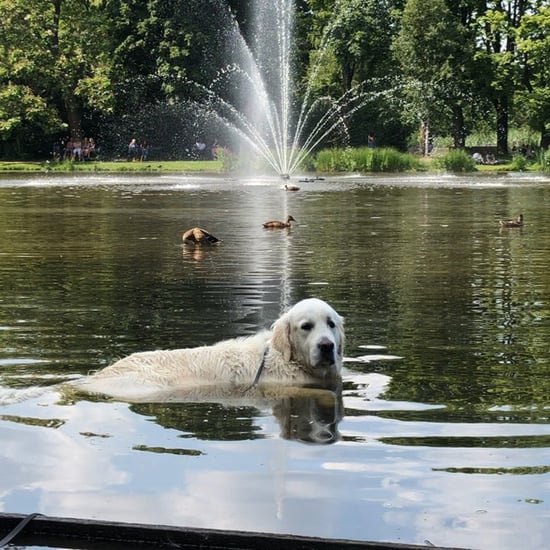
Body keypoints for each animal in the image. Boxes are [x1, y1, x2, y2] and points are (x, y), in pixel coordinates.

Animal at [70, 300, 342, 404]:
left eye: (331, 323)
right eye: (306, 326)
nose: (327, 346)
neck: (286, 358)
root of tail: (94, 377)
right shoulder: (276, 386)